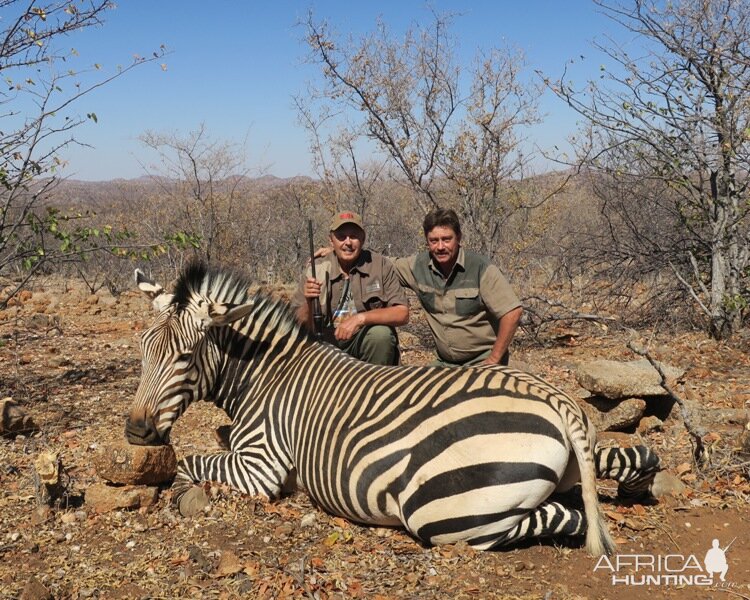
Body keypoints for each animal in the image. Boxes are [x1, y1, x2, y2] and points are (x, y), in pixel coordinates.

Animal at [126, 262, 660, 556]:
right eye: (144, 351)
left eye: (184, 357)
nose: (135, 433)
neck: (266, 375)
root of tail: (556, 400)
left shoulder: (262, 467)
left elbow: (189, 463)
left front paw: (179, 489)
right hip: (580, 450)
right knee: (631, 459)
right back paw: (637, 487)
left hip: (443, 512)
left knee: (562, 518)